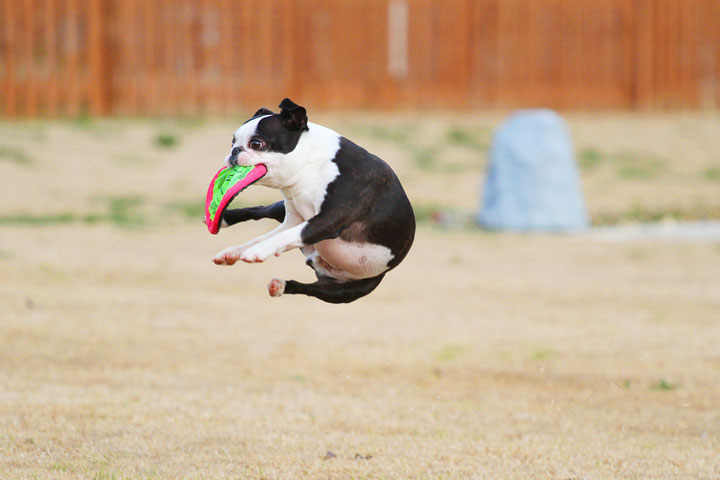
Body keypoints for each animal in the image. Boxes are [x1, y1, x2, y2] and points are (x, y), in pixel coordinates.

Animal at [212, 97, 416, 304]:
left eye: (256, 143)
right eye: (232, 141)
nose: (234, 151)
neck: (312, 164)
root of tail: (314, 259)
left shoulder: (327, 221)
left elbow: (283, 236)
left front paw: (258, 251)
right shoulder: (296, 219)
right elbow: (270, 235)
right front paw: (249, 248)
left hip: (345, 291)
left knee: (309, 288)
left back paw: (279, 285)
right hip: (282, 211)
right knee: (261, 210)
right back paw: (229, 240)